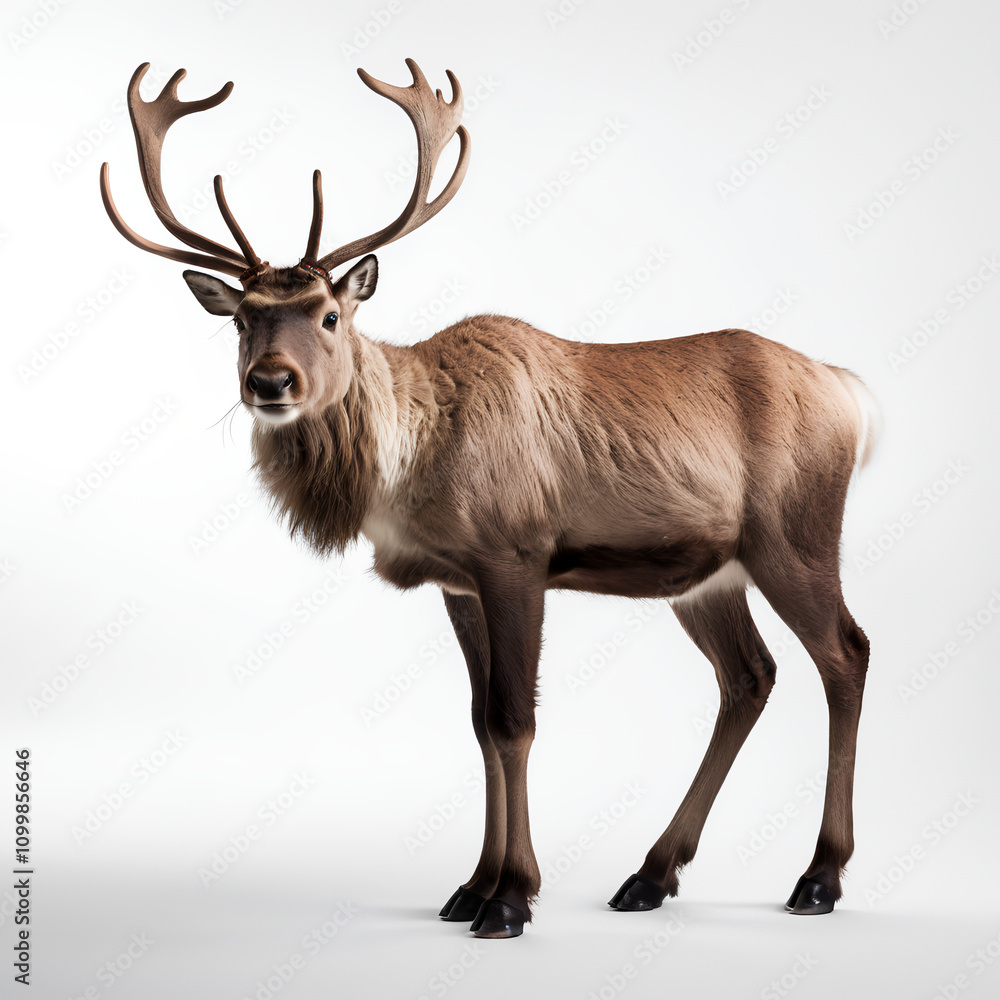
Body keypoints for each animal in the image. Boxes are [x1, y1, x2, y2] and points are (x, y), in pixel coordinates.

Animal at [100, 60, 879, 938]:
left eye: (330, 315)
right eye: (241, 321)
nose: (270, 382)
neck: (407, 473)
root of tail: (851, 392)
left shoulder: (516, 556)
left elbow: (514, 718)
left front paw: (511, 897)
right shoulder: (458, 580)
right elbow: (477, 723)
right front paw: (472, 886)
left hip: (796, 536)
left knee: (846, 652)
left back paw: (820, 876)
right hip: (707, 576)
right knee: (749, 676)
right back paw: (651, 874)